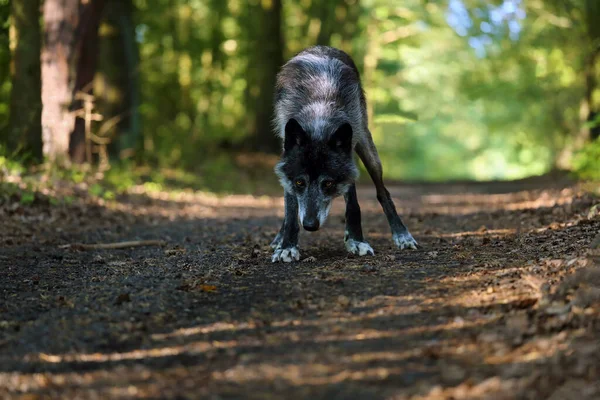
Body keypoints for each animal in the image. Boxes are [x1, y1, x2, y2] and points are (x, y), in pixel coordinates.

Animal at [272, 45, 418, 262]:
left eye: (328, 183)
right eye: (299, 182)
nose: (310, 225)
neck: (319, 116)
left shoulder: (350, 161)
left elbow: (354, 205)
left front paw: (357, 241)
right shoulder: (288, 171)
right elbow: (291, 211)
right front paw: (287, 246)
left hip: (368, 149)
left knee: (383, 192)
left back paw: (402, 235)